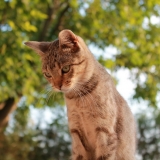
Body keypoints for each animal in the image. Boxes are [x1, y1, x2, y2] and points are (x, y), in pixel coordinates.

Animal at [25, 29, 136, 159]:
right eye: (48, 74)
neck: (78, 97)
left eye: (66, 68)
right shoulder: (76, 133)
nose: (57, 86)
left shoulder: (105, 131)